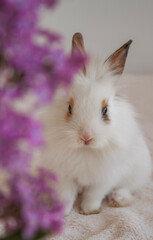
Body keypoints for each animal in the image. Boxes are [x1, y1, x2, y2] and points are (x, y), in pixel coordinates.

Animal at [34, 32, 152, 215]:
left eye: (105, 109)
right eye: (69, 107)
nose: (86, 137)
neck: (85, 151)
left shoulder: (104, 178)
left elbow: (93, 195)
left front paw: (89, 211)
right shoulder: (64, 176)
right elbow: (66, 195)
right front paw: (63, 212)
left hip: (139, 171)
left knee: (127, 188)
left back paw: (118, 199)